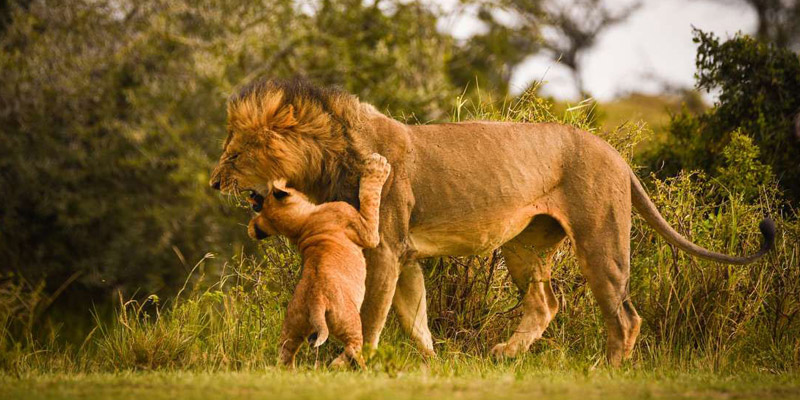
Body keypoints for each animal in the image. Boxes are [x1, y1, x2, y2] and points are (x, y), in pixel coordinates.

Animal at [208, 78, 776, 366]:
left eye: (233, 155)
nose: (213, 184)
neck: (328, 157)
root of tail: (616, 152)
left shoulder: (385, 247)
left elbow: (373, 313)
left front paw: (358, 363)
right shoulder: (405, 256)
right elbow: (414, 317)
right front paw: (432, 364)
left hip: (601, 238)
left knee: (626, 316)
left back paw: (607, 370)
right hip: (526, 245)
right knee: (547, 302)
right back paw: (505, 353)